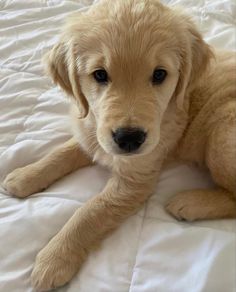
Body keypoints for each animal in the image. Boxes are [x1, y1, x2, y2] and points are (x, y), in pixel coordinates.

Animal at [2, 0, 236, 290]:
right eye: (100, 75)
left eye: (160, 74)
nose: (129, 138)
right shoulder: (93, 131)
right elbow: (63, 152)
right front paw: (26, 175)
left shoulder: (134, 179)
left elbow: (90, 212)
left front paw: (55, 258)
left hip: (222, 132)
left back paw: (190, 202)